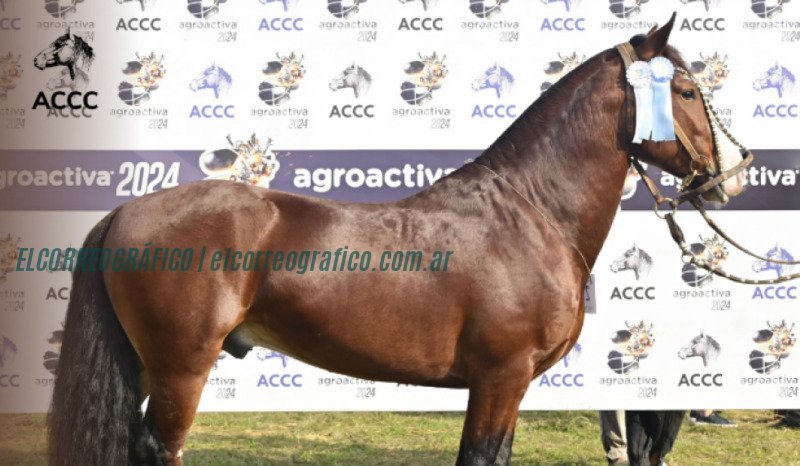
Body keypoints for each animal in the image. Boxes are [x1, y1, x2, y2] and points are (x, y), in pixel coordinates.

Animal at [49, 17, 747, 465]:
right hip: (182, 367)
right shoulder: (500, 378)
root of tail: (125, 211)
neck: (531, 212)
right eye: (686, 90)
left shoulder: (506, 386)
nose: (732, 174)